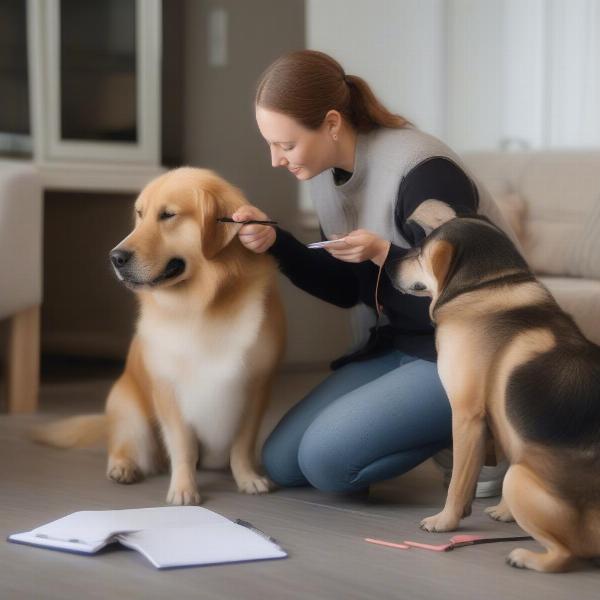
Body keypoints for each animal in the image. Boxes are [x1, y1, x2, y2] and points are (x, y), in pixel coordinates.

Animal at [386, 205, 596, 572]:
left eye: (421, 251)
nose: (387, 267)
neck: (488, 286)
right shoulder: (504, 425)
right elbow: (508, 454)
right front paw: (505, 513)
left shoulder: (466, 415)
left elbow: (459, 482)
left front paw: (445, 521)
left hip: (519, 482)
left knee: (565, 553)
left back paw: (525, 556)